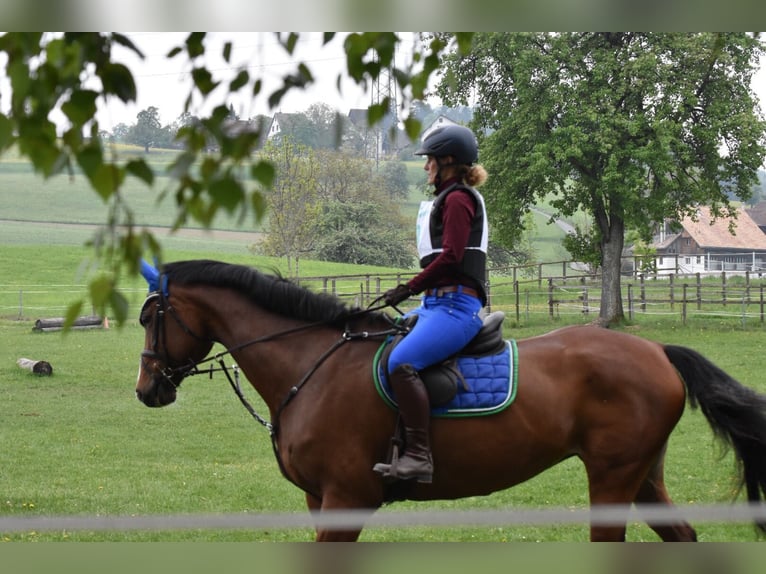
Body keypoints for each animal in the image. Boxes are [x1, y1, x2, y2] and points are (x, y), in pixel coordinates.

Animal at [135, 258, 766, 544]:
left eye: (149, 318)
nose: (147, 389)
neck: (310, 363)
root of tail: (656, 350)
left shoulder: (344, 500)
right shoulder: (320, 501)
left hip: (613, 479)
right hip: (642, 475)